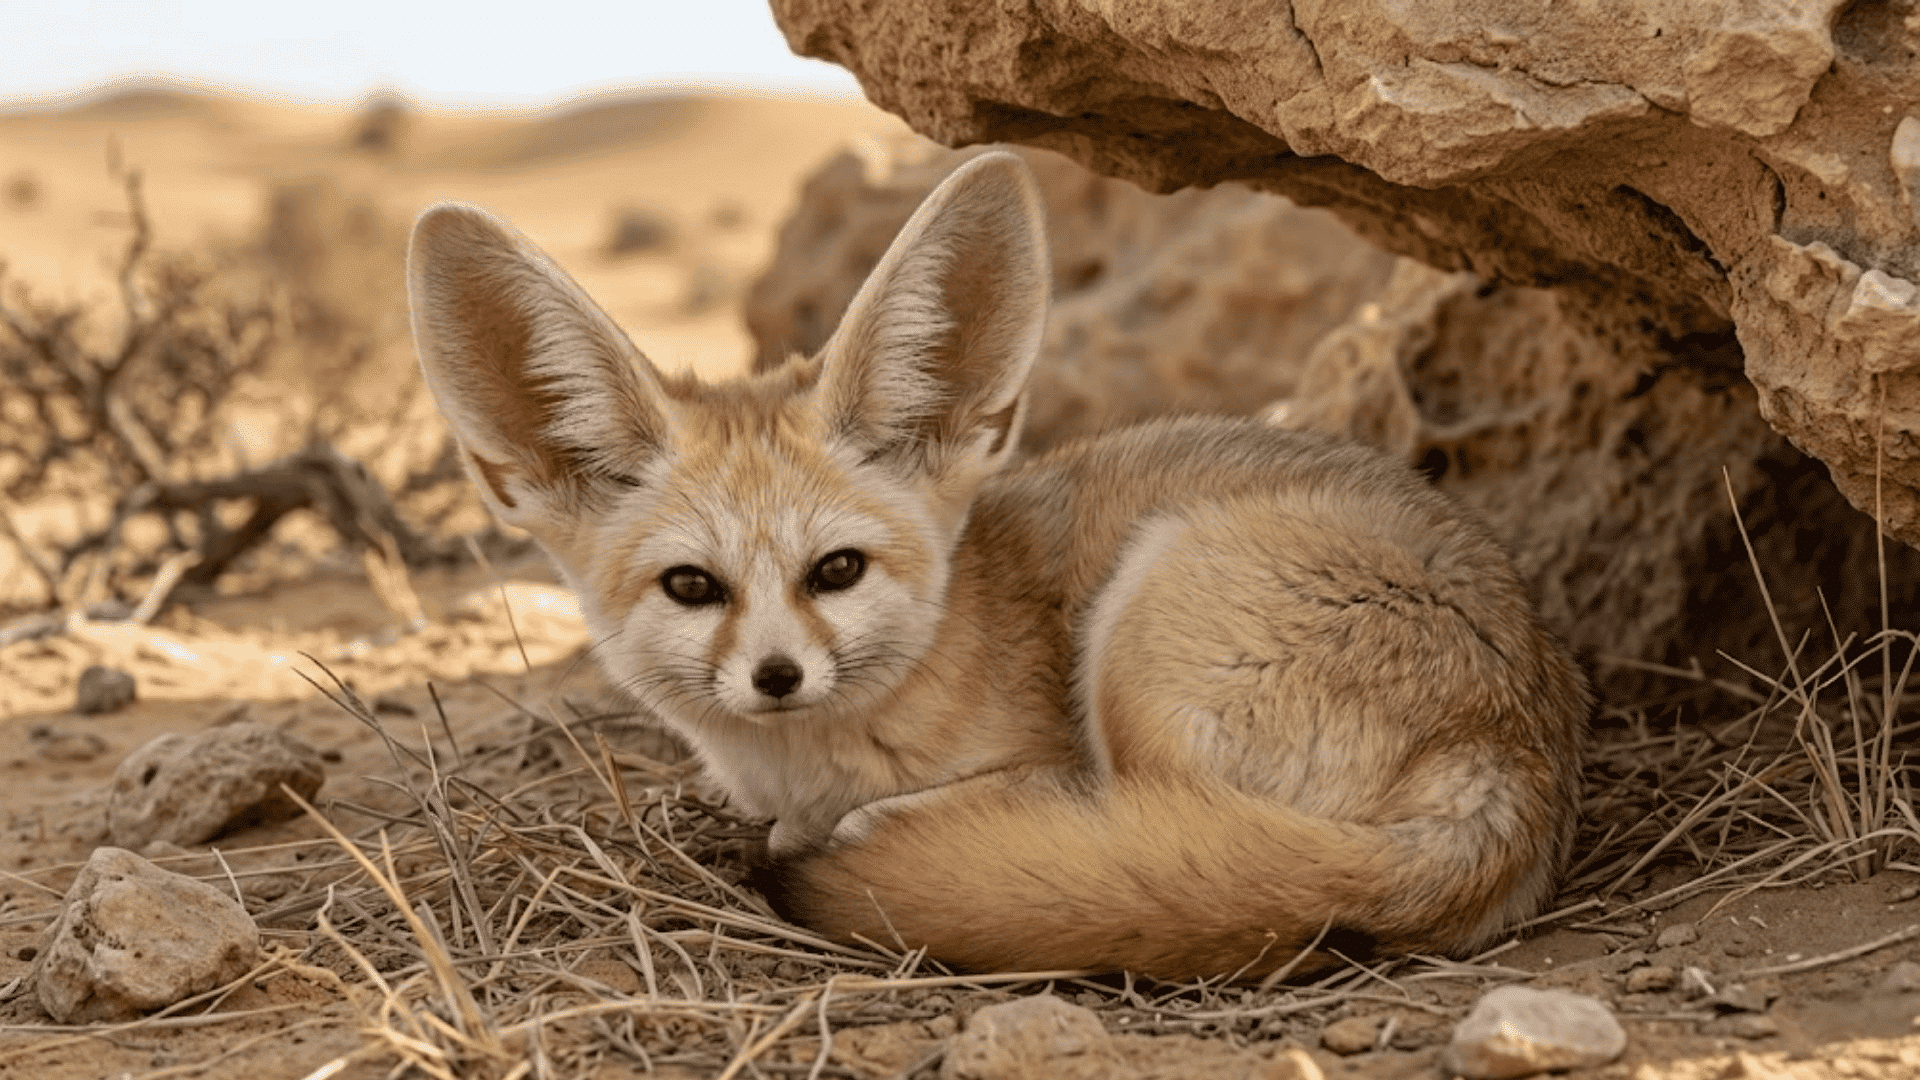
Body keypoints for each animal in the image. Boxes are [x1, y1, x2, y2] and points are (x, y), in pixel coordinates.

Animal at [405, 151, 1589, 981]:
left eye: (836, 570)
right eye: (693, 586)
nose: (778, 678)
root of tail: (1514, 753)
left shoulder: (1040, 764)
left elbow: (864, 822)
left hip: (1145, 633)